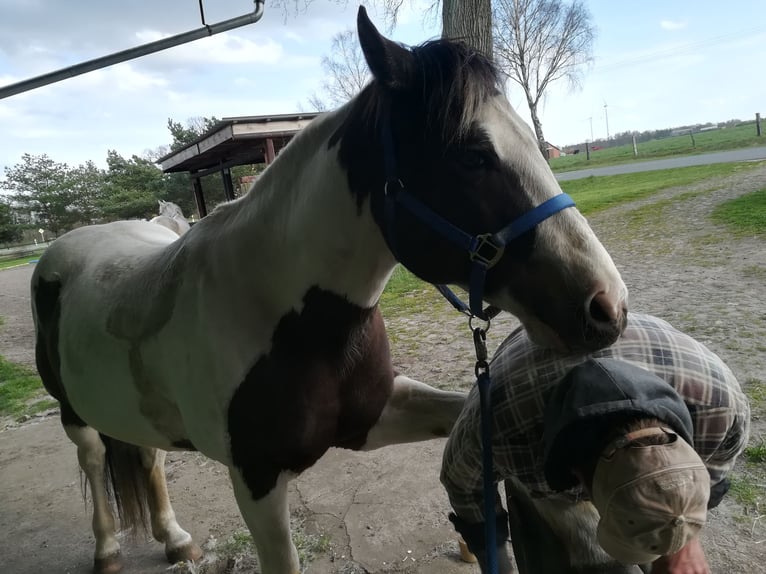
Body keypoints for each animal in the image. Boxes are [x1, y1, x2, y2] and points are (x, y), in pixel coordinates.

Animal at [30, 7, 632, 574]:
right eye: (471, 155)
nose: (607, 306)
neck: (290, 320)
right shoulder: (257, 482)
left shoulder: (374, 417)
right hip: (75, 416)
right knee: (92, 459)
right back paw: (108, 550)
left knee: (149, 458)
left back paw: (175, 539)